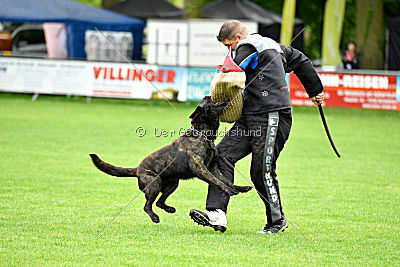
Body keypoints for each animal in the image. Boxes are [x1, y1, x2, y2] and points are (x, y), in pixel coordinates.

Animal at [92, 96, 252, 224]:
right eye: (208, 101)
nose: (208, 96)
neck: (202, 133)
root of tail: (137, 169)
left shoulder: (212, 167)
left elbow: (225, 179)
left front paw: (240, 188)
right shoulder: (200, 169)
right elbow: (217, 181)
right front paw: (230, 191)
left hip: (173, 184)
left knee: (159, 202)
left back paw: (169, 209)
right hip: (154, 184)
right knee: (148, 205)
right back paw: (155, 217)